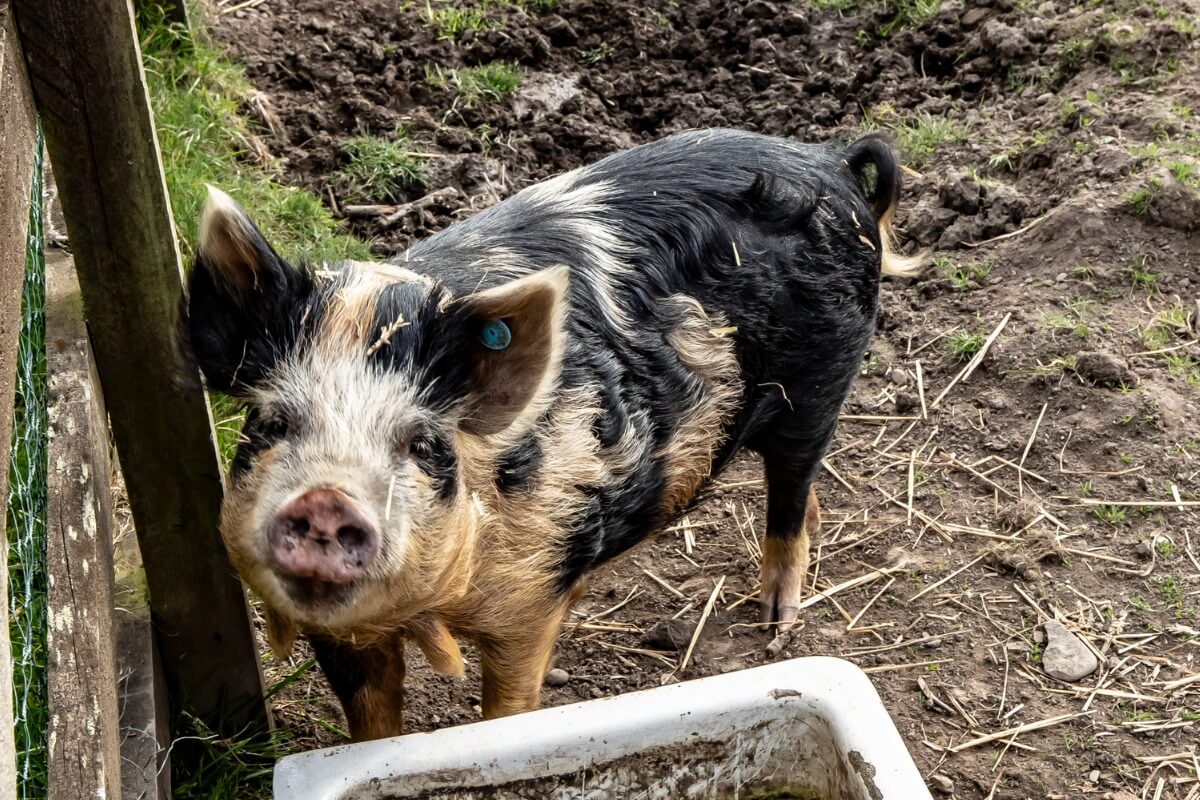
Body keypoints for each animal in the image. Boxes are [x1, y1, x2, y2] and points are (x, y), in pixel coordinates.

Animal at [184, 128, 922, 741]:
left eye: (421, 443)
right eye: (271, 422)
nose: (326, 498)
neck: (434, 606)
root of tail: (832, 164)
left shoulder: (532, 597)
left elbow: (508, 704)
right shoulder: (343, 633)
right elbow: (371, 721)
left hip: (822, 383)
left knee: (791, 485)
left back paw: (775, 620)